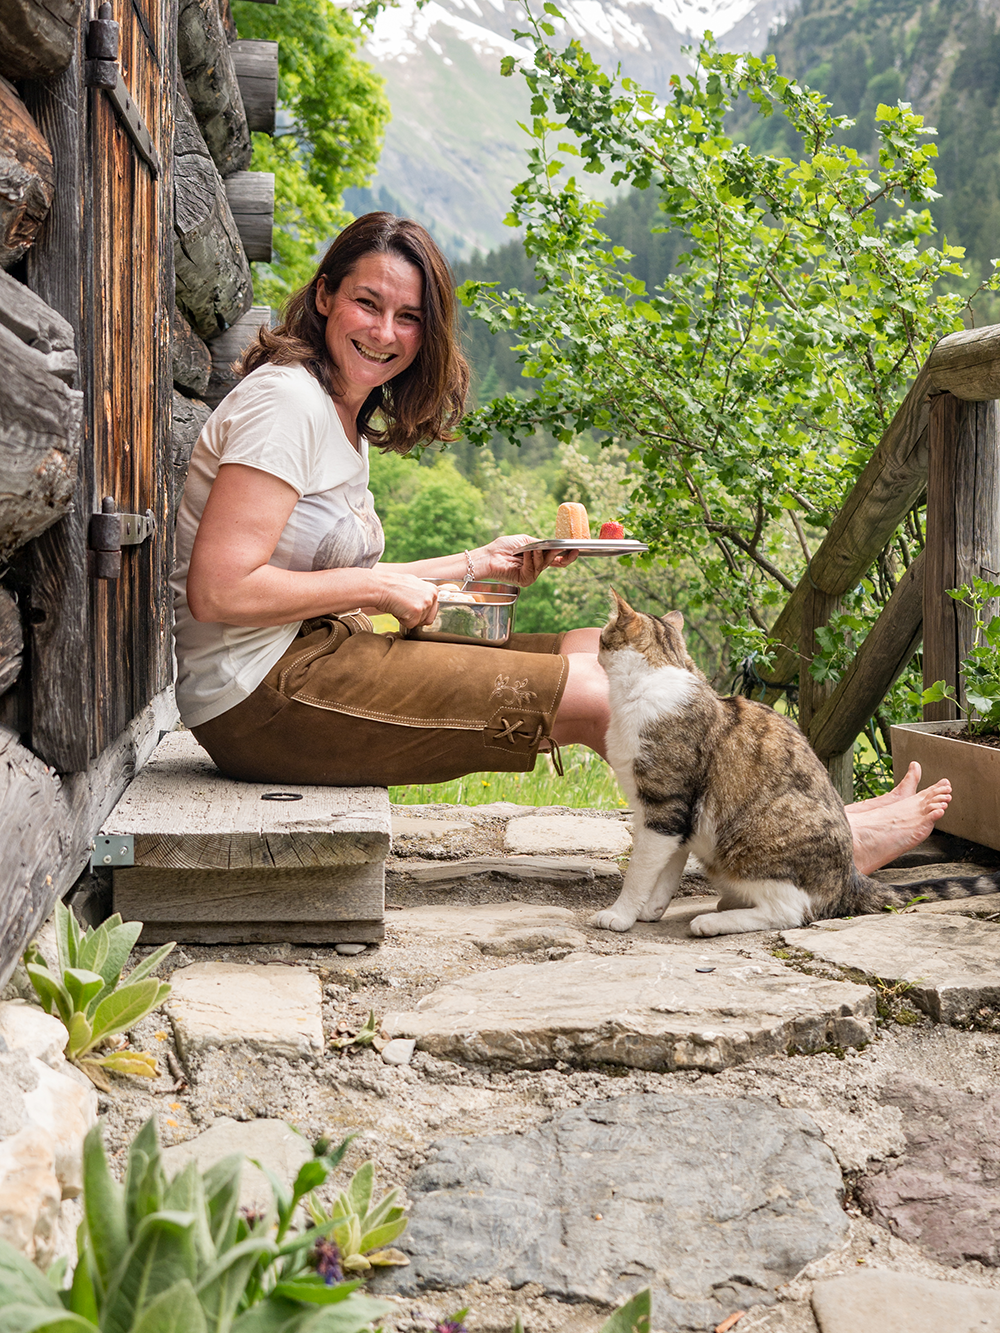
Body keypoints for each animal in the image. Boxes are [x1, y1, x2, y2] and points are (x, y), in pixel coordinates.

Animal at [592, 589, 997, 943]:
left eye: (601, 638)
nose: (594, 650)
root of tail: (848, 879)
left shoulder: (664, 806)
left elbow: (641, 870)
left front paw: (621, 915)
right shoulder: (679, 818)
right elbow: (667, 870)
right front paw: (651, 909)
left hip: (747, 845)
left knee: (792, 911)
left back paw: (714, 920)